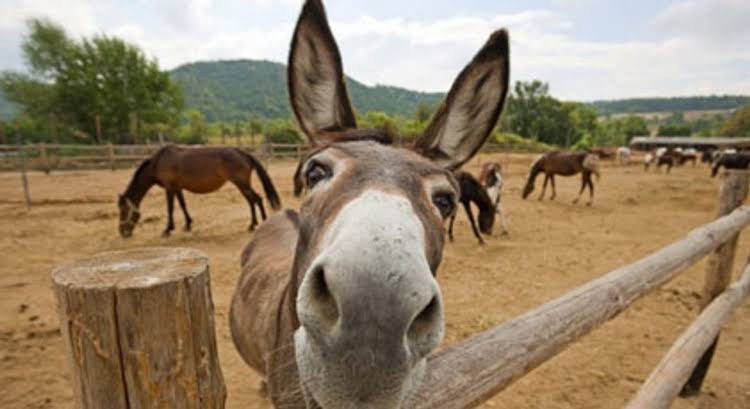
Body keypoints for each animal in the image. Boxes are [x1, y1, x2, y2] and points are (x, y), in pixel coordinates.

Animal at [117, 146, 282, 236]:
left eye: (123, 211)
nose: (123, 233)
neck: (158, 162)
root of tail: (243, 153)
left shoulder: (169, 188)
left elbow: (170, 208)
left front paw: (167, 229)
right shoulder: (177, 188)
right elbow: (182, 205)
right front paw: (188, 225)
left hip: (242, 184)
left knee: (257, 199)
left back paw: (261, 222)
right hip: (242, 185)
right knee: (251, 201)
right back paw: (252, 224)